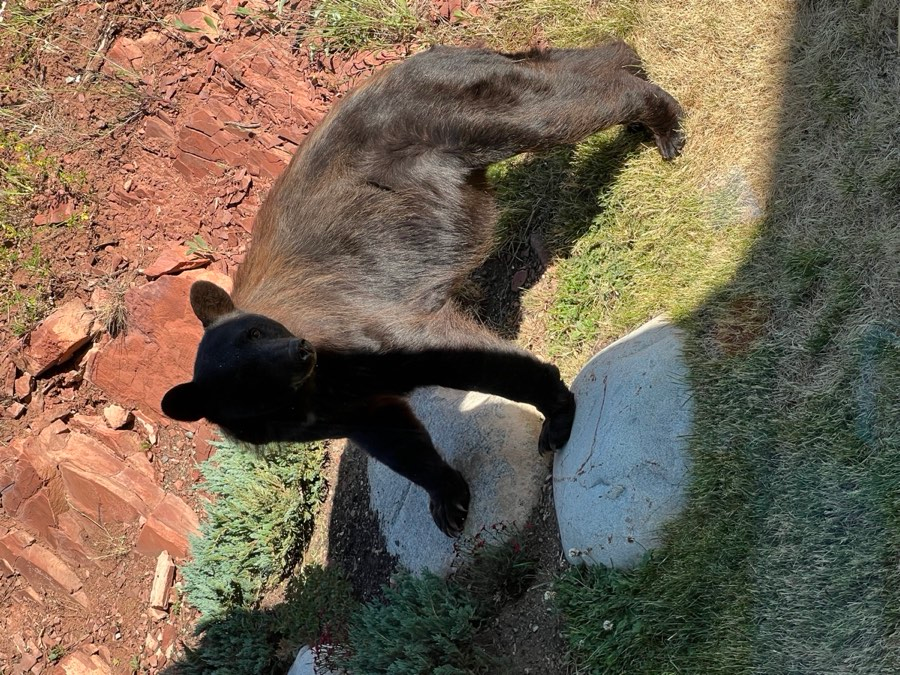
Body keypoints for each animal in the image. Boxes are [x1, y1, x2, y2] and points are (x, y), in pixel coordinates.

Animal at [161, 41, 684, 537]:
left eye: (258, 332)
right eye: (248, 373)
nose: (298, 350)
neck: (313, 388)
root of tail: (429, 57)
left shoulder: (362, 328)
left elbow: (463, 356)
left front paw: (554, 415)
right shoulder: (336, 407)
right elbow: (395, 437)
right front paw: (448, 500)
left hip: (448, 120)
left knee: (554, 112)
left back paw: (660, 119)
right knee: (565, 70)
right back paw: (630, 70)